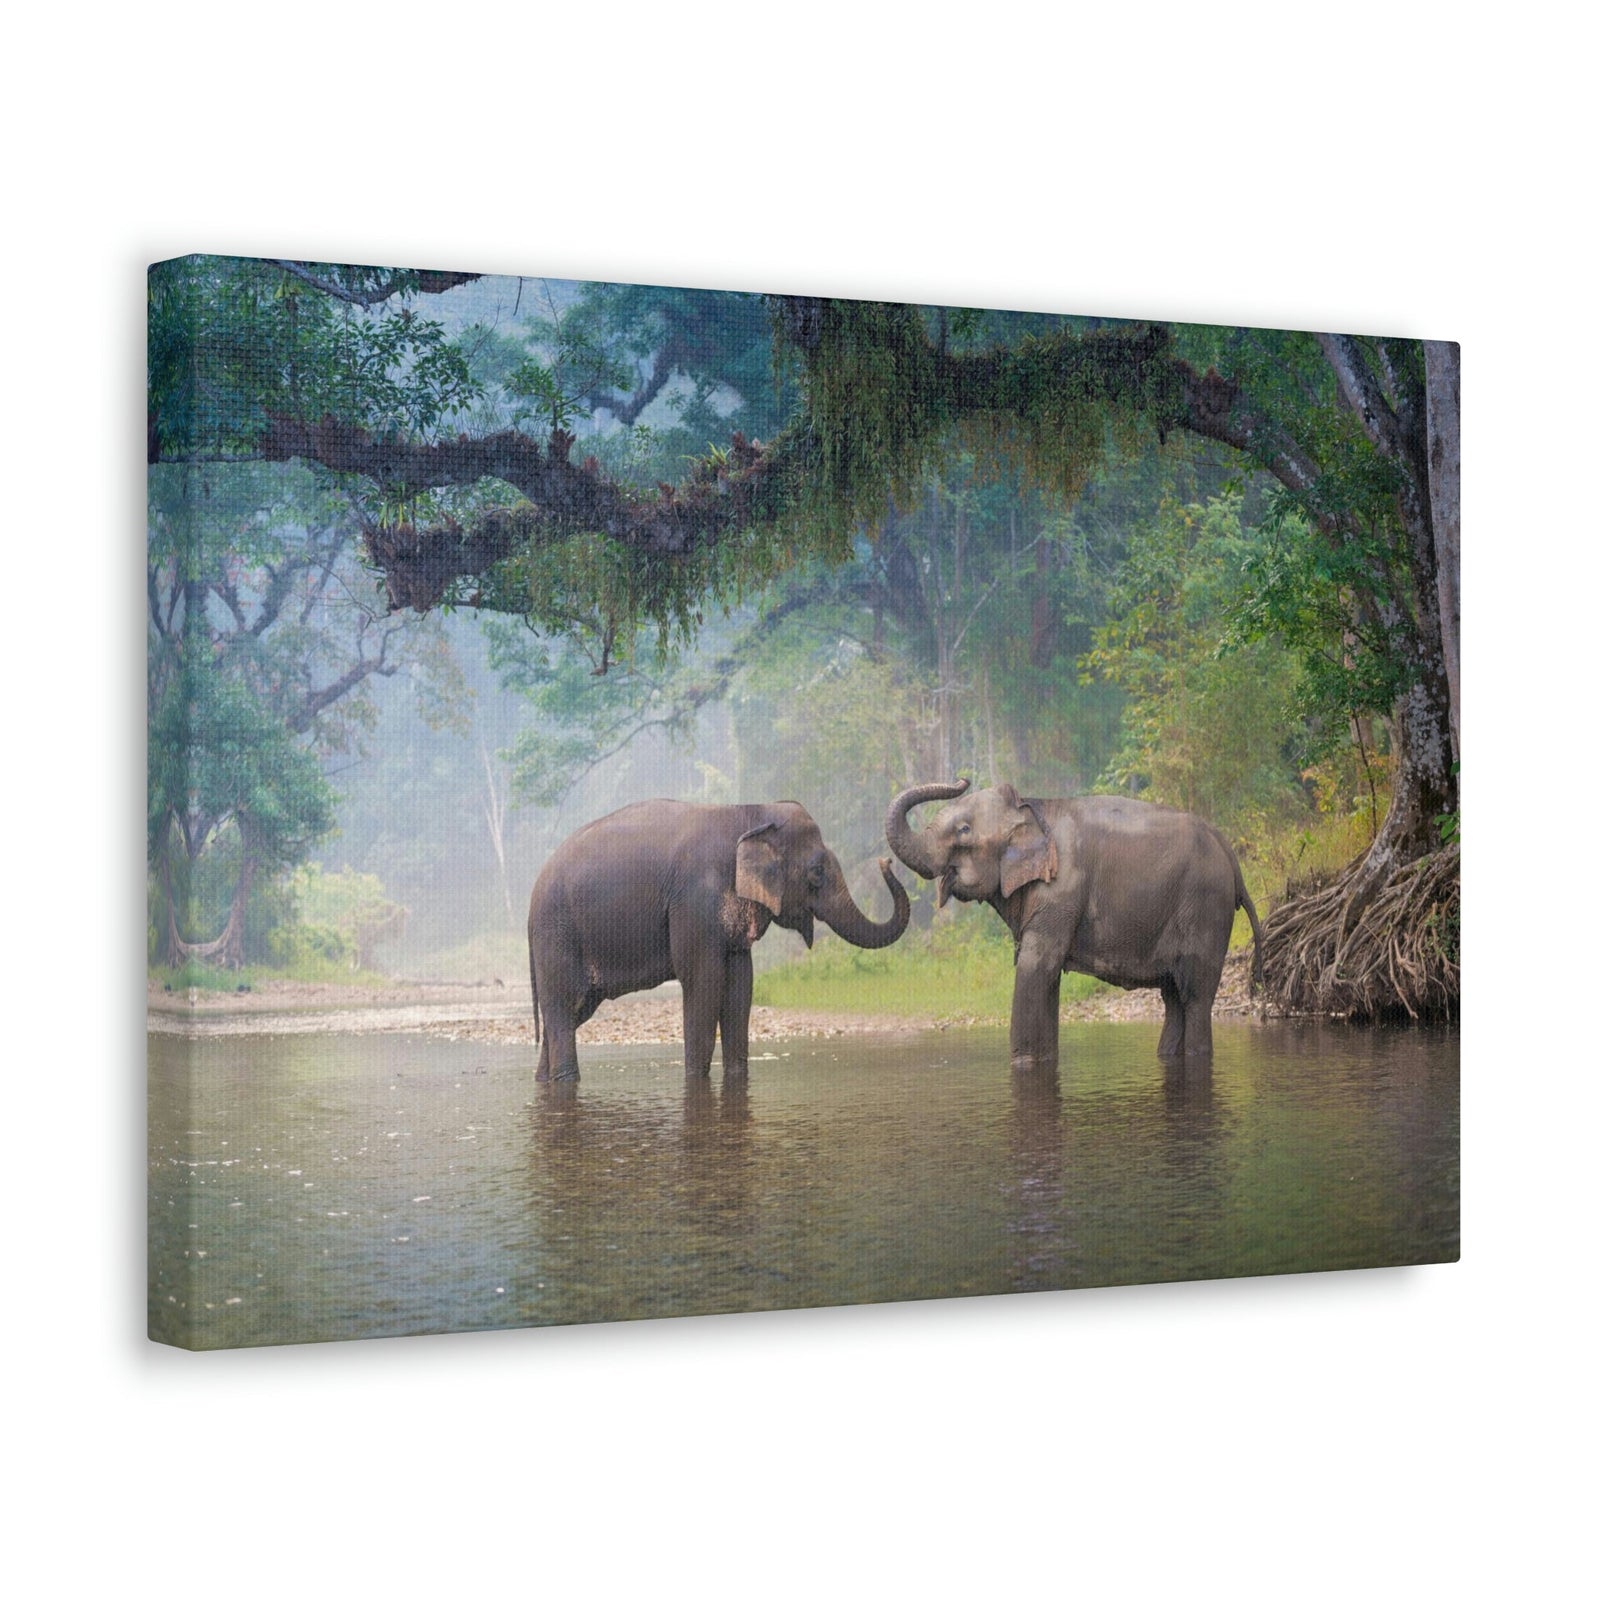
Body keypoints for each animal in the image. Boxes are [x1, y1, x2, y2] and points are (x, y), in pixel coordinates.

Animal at [528, 799, 910, 1082]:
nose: (886, 860)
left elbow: (741, 986)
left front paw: (737, 1077)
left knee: (571, 1012)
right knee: (564, 1006)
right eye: (816, 873)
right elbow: (704, 983)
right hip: (557, 933)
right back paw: (566, 1079)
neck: (748, 812)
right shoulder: (695, 900)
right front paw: (696, 1081)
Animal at [886, 779, 1263, 1069]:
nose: (961, 779)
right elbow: (1046, 978)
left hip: (1206, 908)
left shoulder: (1062, 889)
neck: (1032, 808)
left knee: (1195, 997)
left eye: (964, 831)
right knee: (1173, 999)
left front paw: (1022, 1065)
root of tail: (1231, 856)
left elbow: (1036, 968)